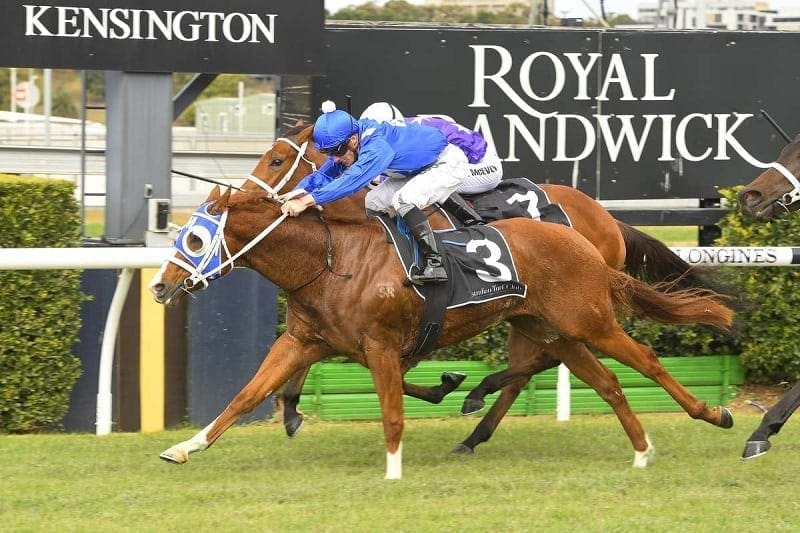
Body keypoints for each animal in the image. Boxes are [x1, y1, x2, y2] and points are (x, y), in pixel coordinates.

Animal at [148, 184, 732, 478]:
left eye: (194, 240)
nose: (160, 286)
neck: (332, 260)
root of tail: (590, 239)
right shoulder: (301, 341)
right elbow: (245, 397)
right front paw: (184, 447)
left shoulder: (380, 346)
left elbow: (391, 412)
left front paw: (393, 472)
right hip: (554, 331)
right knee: (607, 384)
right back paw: (640, 450)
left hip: (589, 320)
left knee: (646, 362)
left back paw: (714, 414)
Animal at [248, 122, 720, 450]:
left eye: (276, 161)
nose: (249, 197)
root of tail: (608, 219)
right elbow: (319, 351)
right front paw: (291, 408)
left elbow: (390, 367)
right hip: (530, 312)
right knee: (541, 362)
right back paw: (474, 432)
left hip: (558, 305)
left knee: (542, 361)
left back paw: (477, 395)